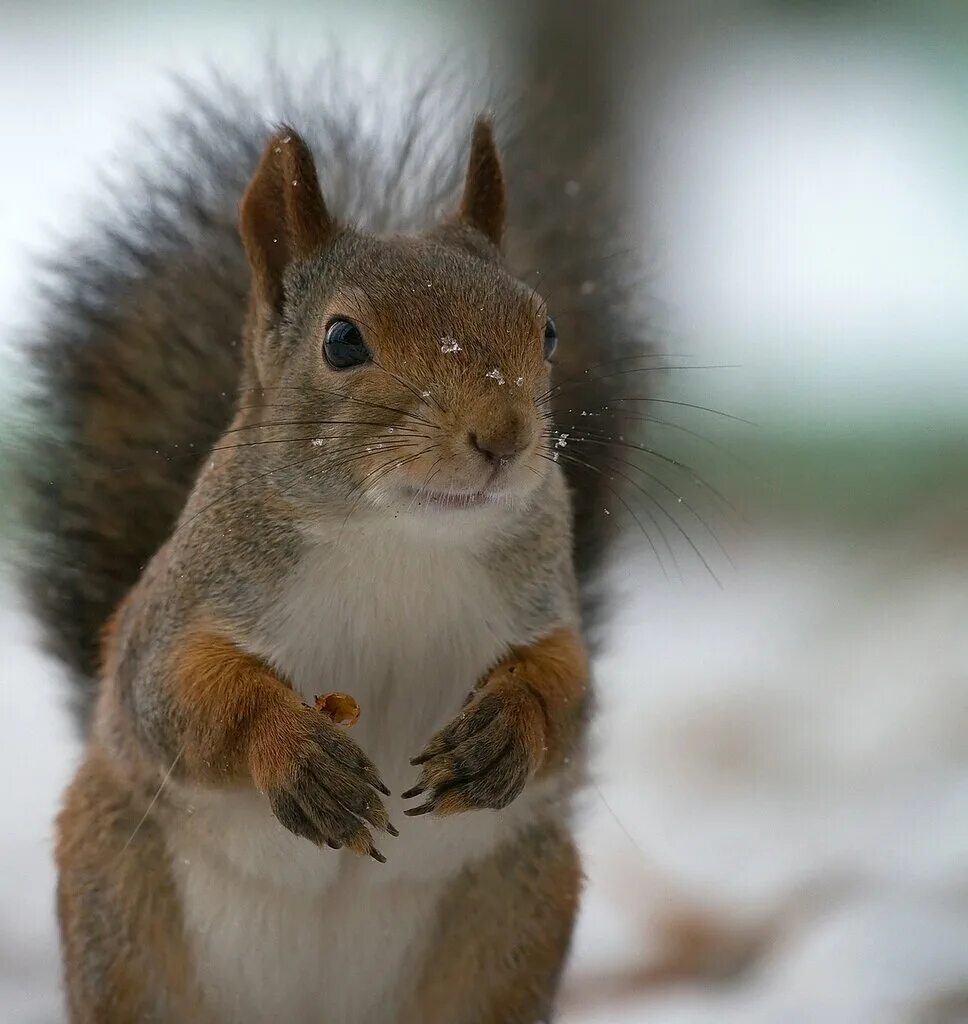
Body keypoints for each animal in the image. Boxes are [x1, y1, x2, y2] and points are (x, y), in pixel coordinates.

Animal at [18, 68, 647, 1019]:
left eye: (545, 331)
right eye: (342, 340)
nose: (503, 436)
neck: (401, 541)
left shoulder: (546, 604)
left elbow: (570, 696)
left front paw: (505, 733)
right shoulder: (182, 614)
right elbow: (181, 699)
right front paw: (299, 756)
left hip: (512, 918)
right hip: (119, 908)